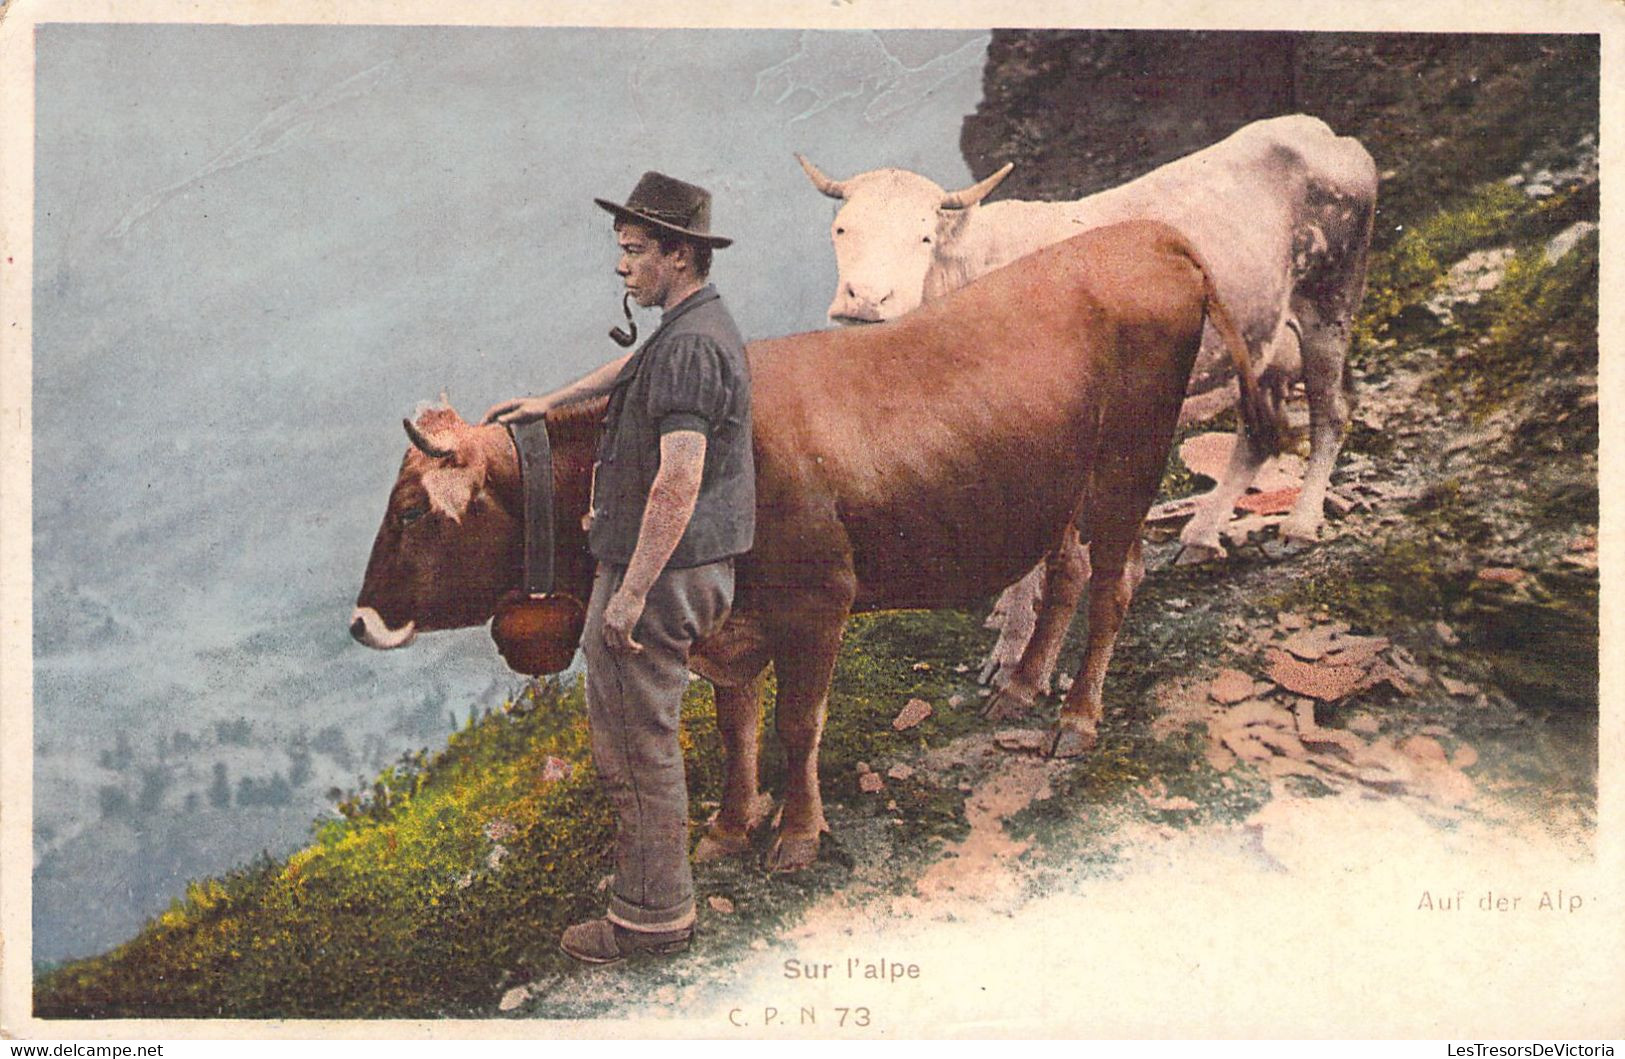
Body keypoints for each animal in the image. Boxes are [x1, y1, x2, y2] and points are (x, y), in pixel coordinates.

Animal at [352, 220, 1267, 870]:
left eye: (412, 512)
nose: (361, 620)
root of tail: (1148, 233)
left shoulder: (818, 601)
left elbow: (797, 722)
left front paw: (795, 834)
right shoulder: (730, 627)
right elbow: (734, 725)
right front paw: (729, 826)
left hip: (1128, 465)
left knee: (1116, 579)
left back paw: (1076, 715)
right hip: (1060, 488)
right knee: (1069, 568)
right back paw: (1021, 684)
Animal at [799, 116, 1371, 698]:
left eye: (923, 236)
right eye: (842, 230)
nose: (865, 299)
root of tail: (1323, 133)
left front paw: (1011, 655)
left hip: (1331, 298)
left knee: (1332, 411)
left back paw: (1299, 524)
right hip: (1261, 343)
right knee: (1260, 433)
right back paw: (1200, 535)